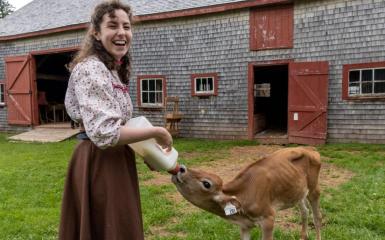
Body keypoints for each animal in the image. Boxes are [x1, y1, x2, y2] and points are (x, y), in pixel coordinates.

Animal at [171, 146, 320, 240]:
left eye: (206, 183)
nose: (182, 168)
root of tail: (309, 148)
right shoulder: (244, 226)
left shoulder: (268, 219)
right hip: (298, 192)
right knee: (305, 211)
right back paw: (303, 236)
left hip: (314, 188)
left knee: (317, 217)